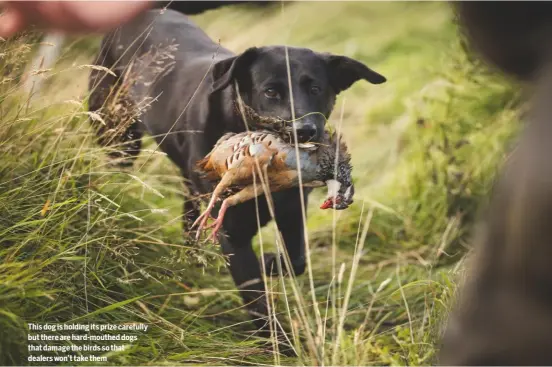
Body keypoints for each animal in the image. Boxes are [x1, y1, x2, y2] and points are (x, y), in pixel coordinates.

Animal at [88, 7, 386, 330]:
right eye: (271, 92)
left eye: (316, 89)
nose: (304, 131)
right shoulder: (233, 233)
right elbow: (257, 300)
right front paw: (277, 340)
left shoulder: (293, 211)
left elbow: (296, 261)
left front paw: (270, 263)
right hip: (120, 138)